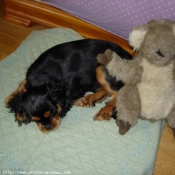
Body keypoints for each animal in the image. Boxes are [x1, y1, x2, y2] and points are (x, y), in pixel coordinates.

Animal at [4, 39, 132, 133]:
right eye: (34, 120)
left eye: (52, 112)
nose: (48, 127)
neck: (40, 79)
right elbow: (23, 83)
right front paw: (11, 100)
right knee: (106, 91)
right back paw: (86, 100)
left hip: (101, 68)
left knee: (118, 93)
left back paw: (105, 111)